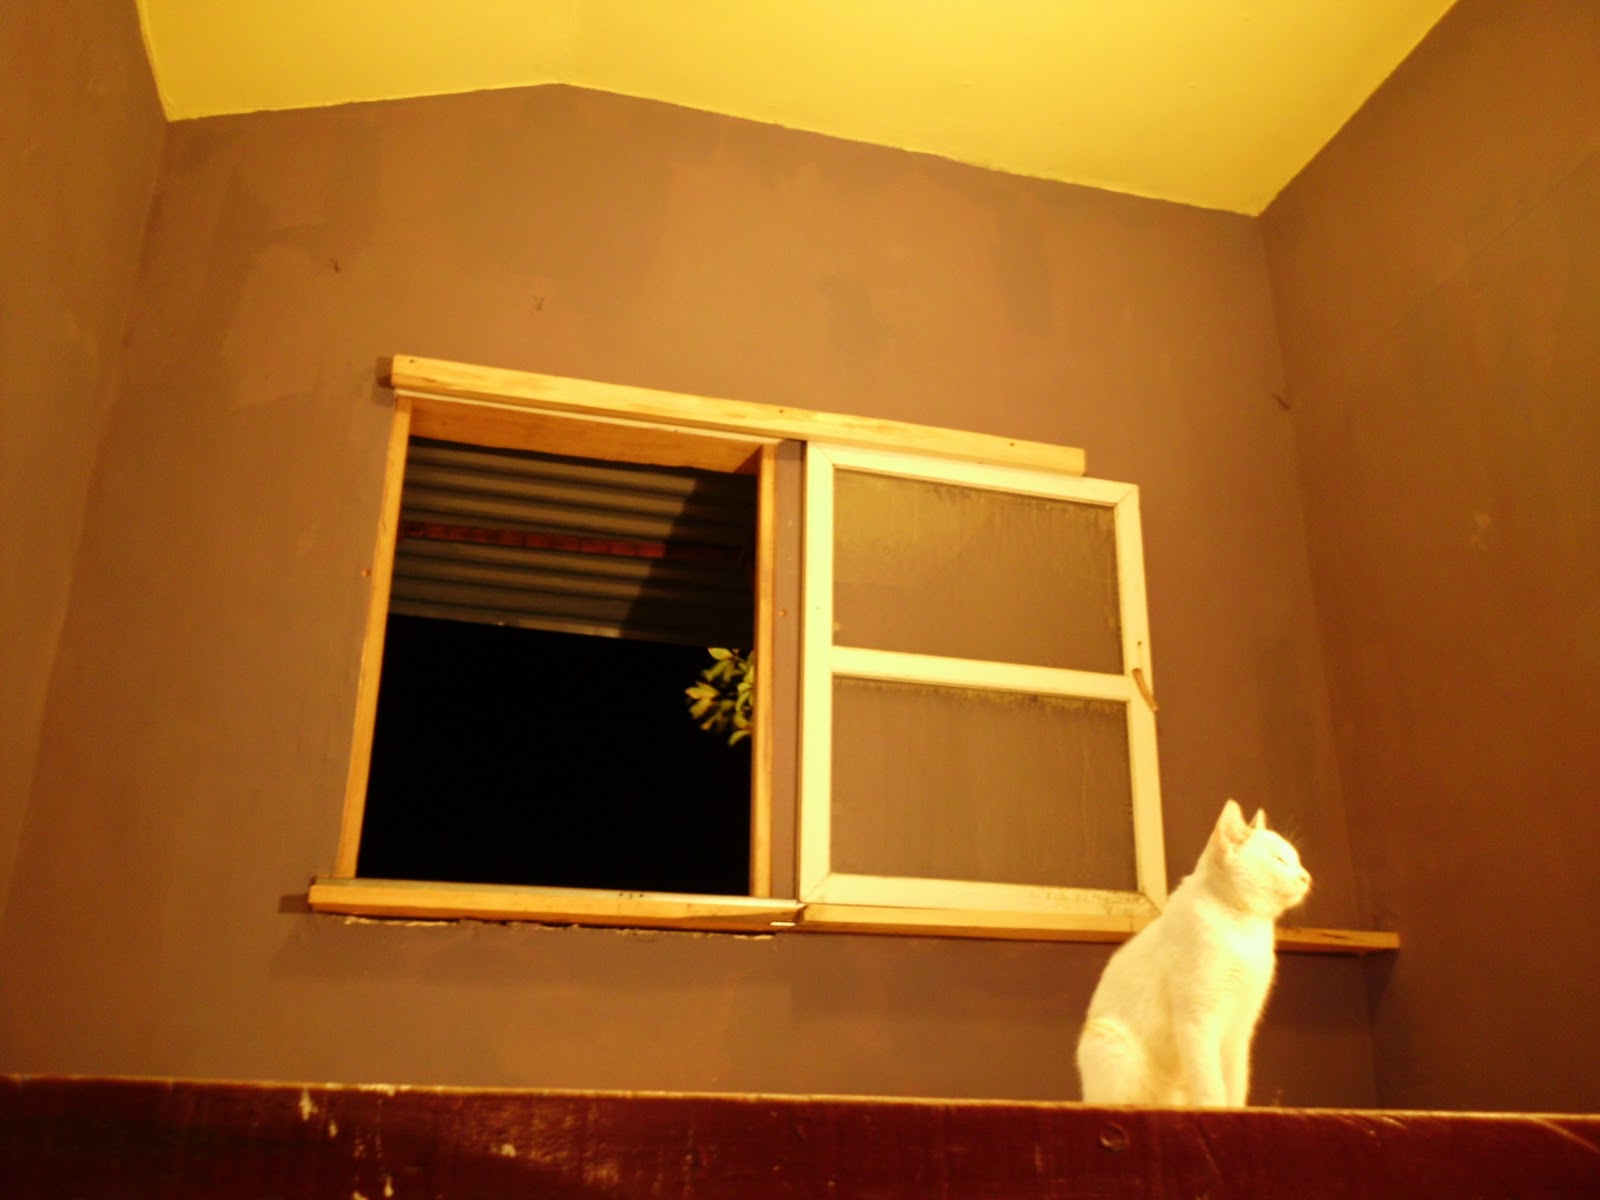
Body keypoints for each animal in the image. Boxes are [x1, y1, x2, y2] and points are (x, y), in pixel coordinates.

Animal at [1075, 799, 1311, 1107]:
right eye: (1279, 860)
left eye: (1296, 859)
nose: (1306, 877)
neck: (1244, 929)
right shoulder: (1197, 1018)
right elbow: (1211, 1086)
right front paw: (1215, 1110)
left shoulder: (1239, 1030)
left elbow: (1235, 1085)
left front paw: (1236, 1111)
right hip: (1111, 1046)